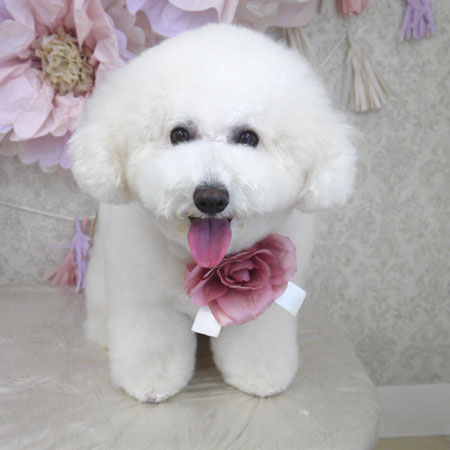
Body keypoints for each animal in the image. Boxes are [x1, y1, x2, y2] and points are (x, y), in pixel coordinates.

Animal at [68, 24, 356, 403]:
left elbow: (256, 339)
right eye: (179, 134)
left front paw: (260, 376)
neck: (206, 264)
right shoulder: (146, 300)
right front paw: (151, 382)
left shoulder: (264, 305)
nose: (210, 197)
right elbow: (151, 342)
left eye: (248, 137)